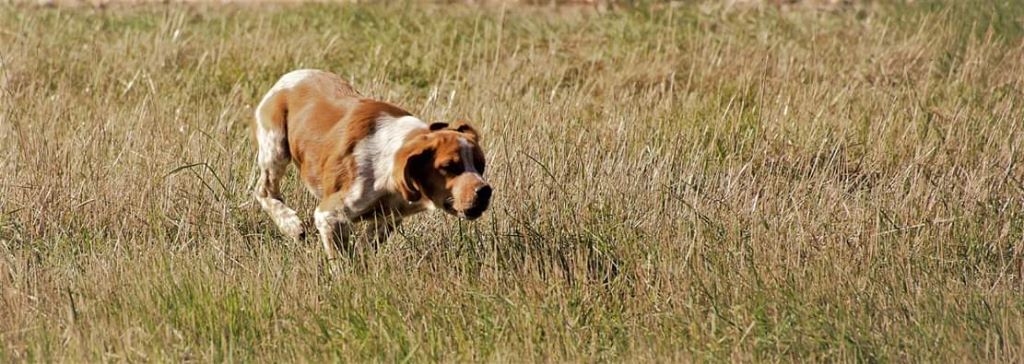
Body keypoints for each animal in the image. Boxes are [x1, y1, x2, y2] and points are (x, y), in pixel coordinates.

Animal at [247, 69, 487, 259]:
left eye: (481, 166)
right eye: (449, 167)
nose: (485, 191)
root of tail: (291, 75)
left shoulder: (389, 217)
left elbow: (366, 246)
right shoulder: (329, 214)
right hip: (275, 147)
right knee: (264, 190)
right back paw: (291, 224)